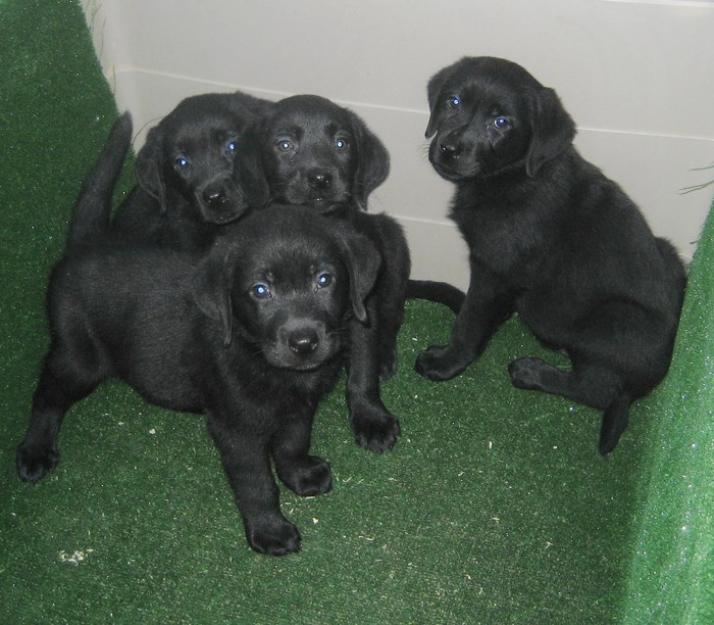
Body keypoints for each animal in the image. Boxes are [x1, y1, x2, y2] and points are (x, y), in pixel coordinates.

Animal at [16, 117, 382, 556]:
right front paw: (269, 530)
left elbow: (292, 443)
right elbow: (256, 484)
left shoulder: (296, 408)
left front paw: (299, 474)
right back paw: (35, 449)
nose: (304, 342)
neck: (252, 349)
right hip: (79, 357)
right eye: (260, 291)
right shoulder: (235, 430)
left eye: (324, 280)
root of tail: (84, 245)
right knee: (47, 392)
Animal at [258, 92, 408, 450]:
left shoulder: (361, 309)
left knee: (394, 316)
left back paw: (385, 356)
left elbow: (363, 367)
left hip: (393, 247)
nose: (320, 179)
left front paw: (371, 417)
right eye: (284, 144)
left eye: (342, 143)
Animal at [414, 57, 688, 454]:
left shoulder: (491, 268)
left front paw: (448, 362)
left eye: (502, 122)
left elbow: (468, 321)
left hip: (613, 318)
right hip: (668, 252)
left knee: (596, 390)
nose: (450, 148)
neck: (512, 176)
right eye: (453, 101)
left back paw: (532, 372)